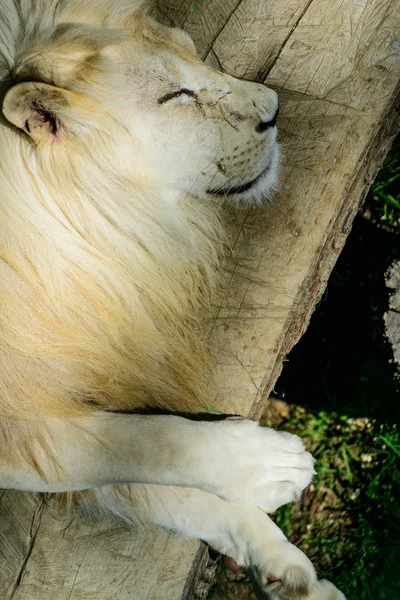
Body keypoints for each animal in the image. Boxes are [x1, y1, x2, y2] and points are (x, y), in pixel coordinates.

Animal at [0, 2, 344, 596]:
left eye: (192, 50)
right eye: (174, 95)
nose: (275, 111)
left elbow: (153, 481)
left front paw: (287, 569)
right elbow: (136, 444)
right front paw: (269, 465)